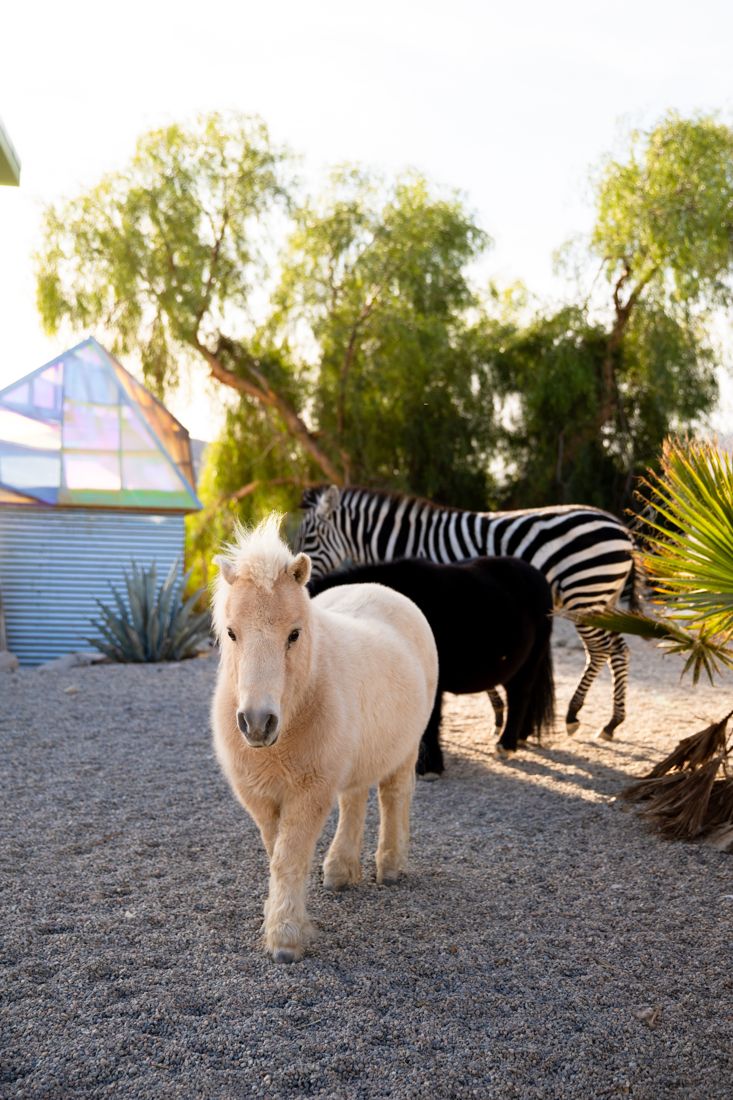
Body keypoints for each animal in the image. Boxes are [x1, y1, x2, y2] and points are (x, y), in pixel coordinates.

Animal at [210, 515, 439, 964]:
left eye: (294, 634)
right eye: (231, 632)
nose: (257, 723)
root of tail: (384, 590)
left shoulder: (309, 792)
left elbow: (289, 858)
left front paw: (286, 939)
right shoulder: (260, 798)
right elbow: (276, 852)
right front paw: (280, 919)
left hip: (405, 749)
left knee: (394, 796)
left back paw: (389, 865)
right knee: (354, 801)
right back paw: (339, 871)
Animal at [309, 556, 555, 775]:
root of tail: (536, 574)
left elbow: (430, 721)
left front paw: (429, 766)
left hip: (529, 662)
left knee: (520, 696)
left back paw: (507, 745)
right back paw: (521, 737)